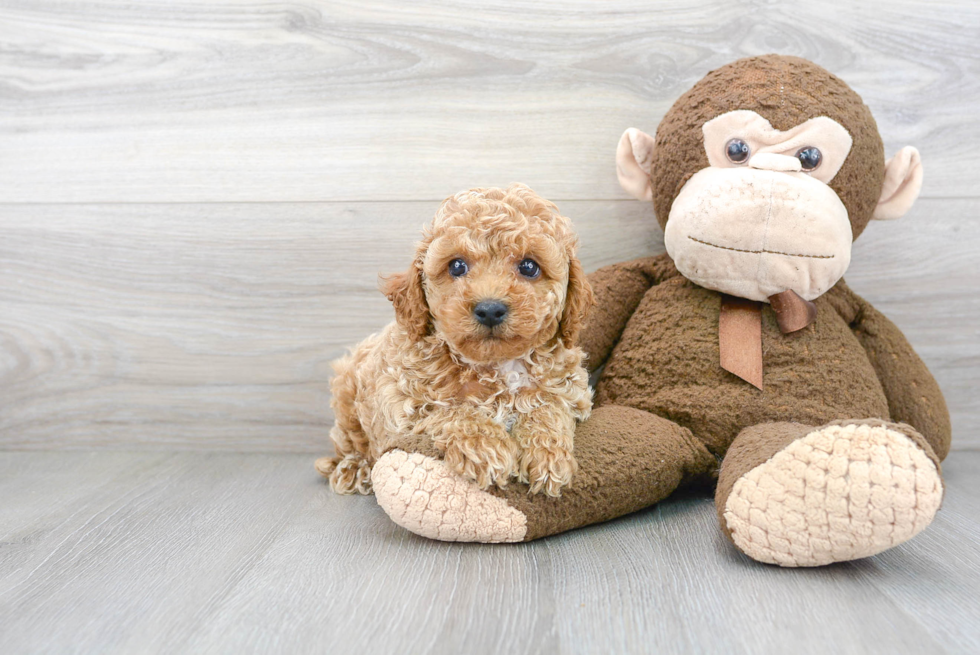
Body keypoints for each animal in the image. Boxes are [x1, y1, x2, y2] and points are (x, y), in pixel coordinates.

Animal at [318, 184, 592, 498]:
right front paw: (486, 447)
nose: (490, 309)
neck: (497, 365)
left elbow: (548, 405)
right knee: (350, 443)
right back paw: (353, 468)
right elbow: (453, 410)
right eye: (457, 266)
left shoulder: (573, 392)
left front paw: (547, 455)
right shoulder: (403, 404)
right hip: (347, 393)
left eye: (529, 267)